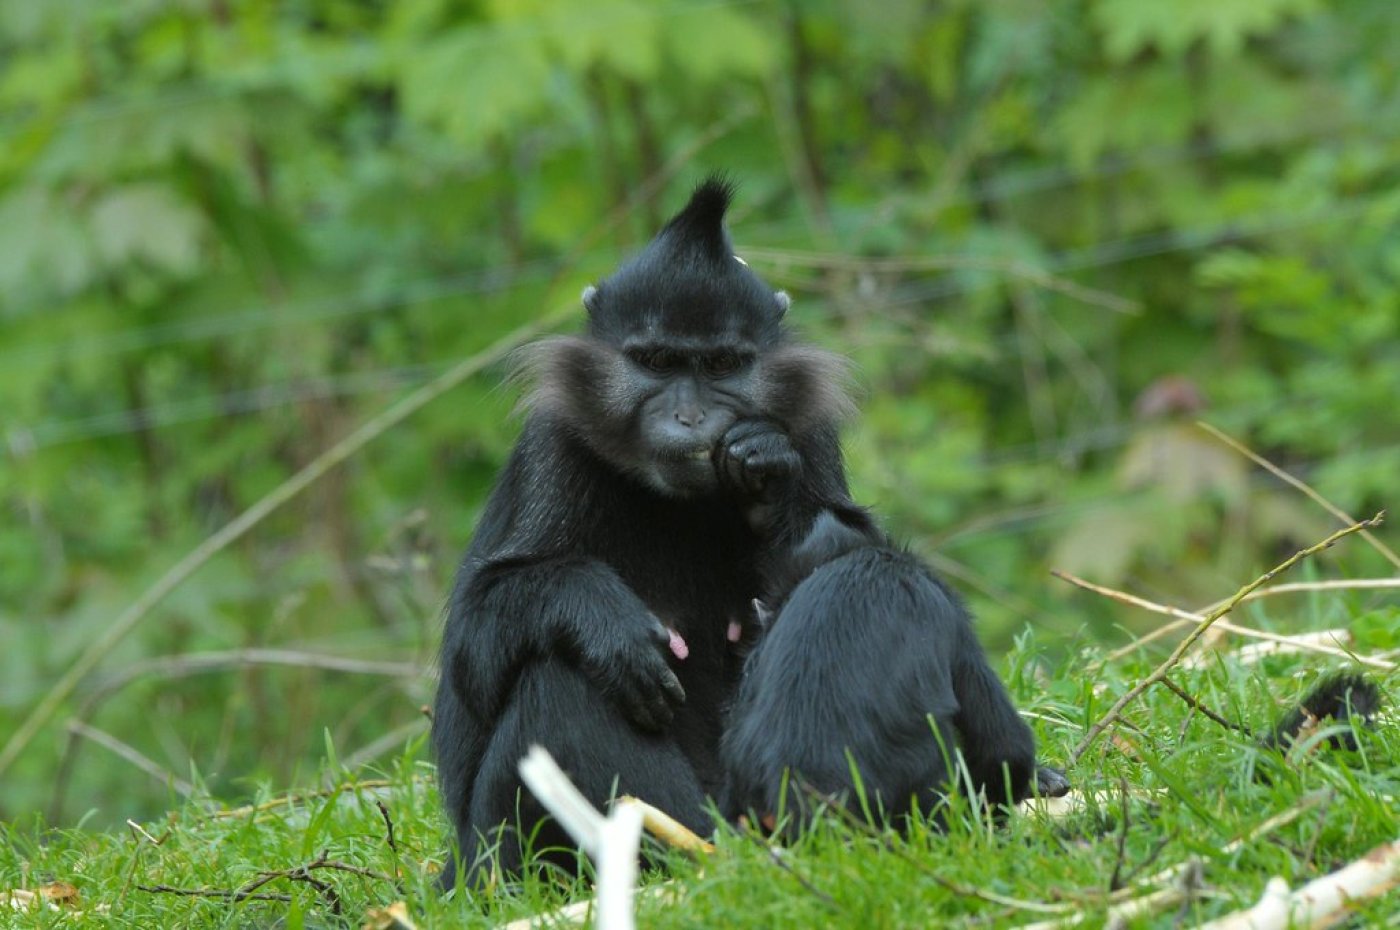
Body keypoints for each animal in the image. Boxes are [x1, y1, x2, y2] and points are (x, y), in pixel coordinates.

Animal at [428, 176, 862, 896]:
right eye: (656, 362)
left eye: (721, 364)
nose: (689, 417)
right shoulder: (555, 440)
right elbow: (473, 640)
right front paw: (604, 619)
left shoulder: (809, 426)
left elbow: (852, 557)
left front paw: (767, 476)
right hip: (491, 851)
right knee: (557, 683)